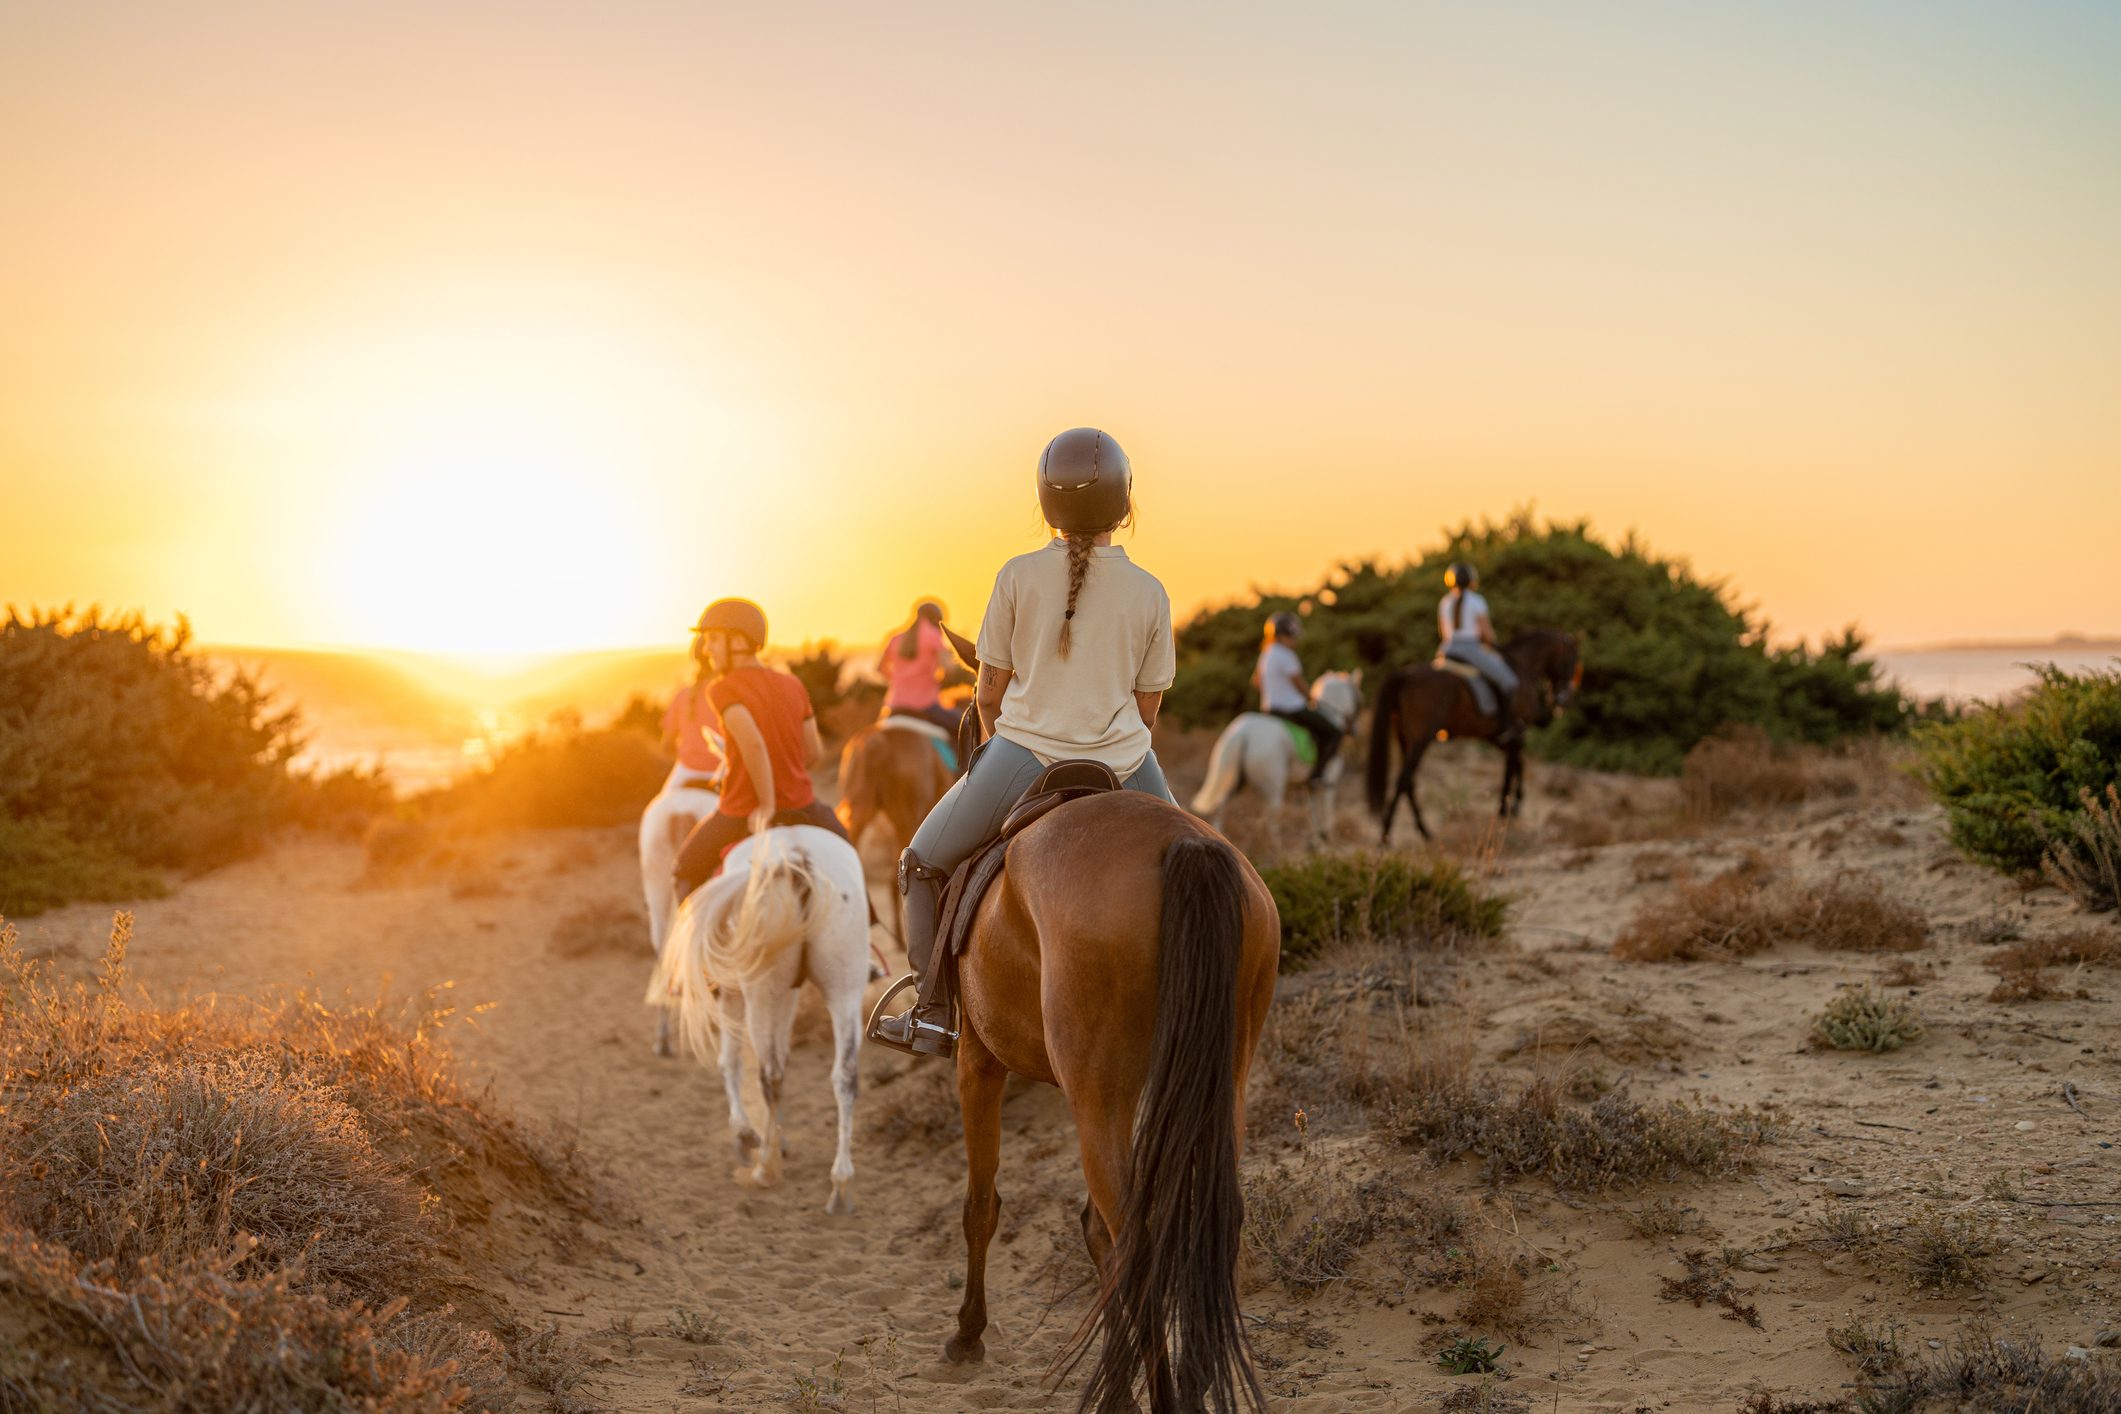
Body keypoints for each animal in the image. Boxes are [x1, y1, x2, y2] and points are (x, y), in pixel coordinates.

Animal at [649, 831, 873, 1221]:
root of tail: (797, 856)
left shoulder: (732, 994)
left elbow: (731, 1062)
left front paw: (746, 1135)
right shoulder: (790, 992)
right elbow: (783, 1055)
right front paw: (778, 1136)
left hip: (758, 992)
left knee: (768, 1073)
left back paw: (765, 1167)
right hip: (843, 986)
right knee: (845, 1075)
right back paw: (840, 1183)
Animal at [945, 797, 1272, 1414]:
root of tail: (1184, 844)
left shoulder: (979, 1061)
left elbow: (981, 1206)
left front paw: (969, 1333)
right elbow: (1091, 1229)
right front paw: (1119, 1387)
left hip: (1099, 1099)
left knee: (1135, 1242)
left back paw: (1168, 1396)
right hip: (1220, 1086)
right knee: (1207, 1221)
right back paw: (1191, 1382)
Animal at [1187, 674, 1365, 856]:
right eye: (1359, 699)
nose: (1355, 730)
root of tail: (1243, 733)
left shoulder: (1308, 785)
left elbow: (1312, 811)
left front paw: (1314, 843)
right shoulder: (1329, 779)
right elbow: (1327, 809)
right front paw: (1324, 838)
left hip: (1236, 782)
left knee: (1222, 808)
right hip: (1273, 786)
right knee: (1271, 818)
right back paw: (1277, 849)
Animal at [1365, 627, 1586, 847]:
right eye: (1571, 660)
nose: (1563, 700)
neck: (1523, 667)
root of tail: (1405, 674)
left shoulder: (1498, 738)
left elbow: (1517, 765)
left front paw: (1509, 806)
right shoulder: (1516, 732)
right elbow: (1513, 767)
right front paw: (1509, 807)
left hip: (1404, 738)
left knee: (1409, 782)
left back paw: (1424, 832)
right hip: (1421, 739)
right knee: (1403, 780)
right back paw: (1386, 836)